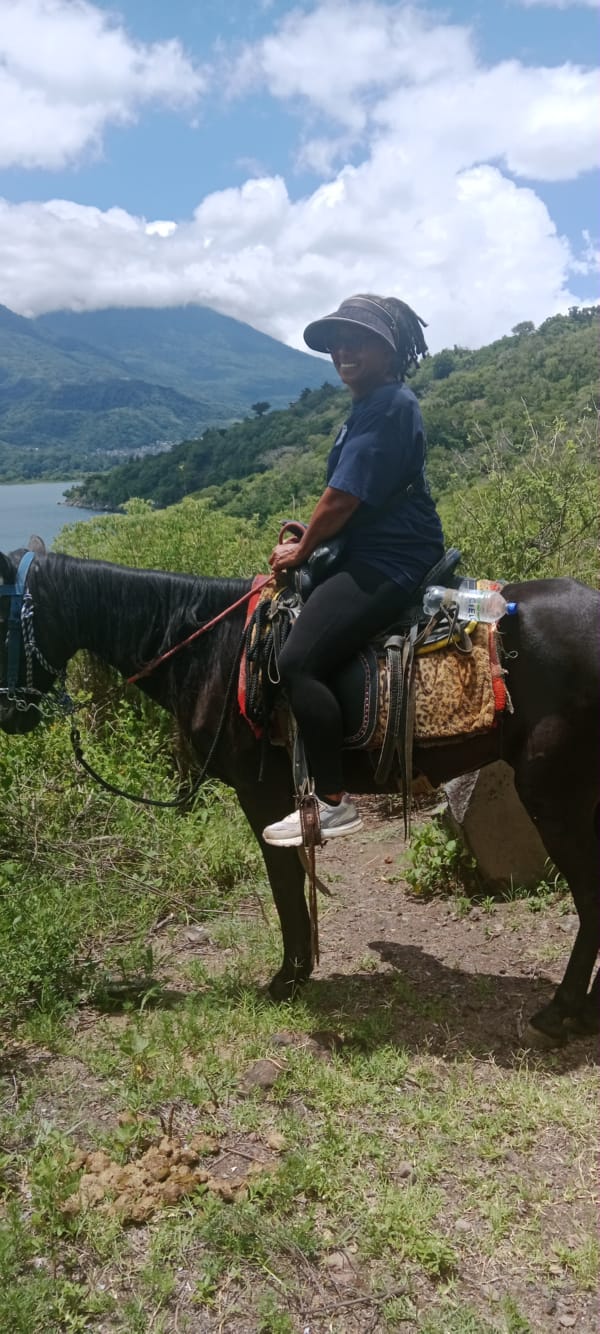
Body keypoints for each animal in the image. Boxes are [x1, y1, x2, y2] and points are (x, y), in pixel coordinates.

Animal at [1, 540, 598, 1045]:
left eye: (2, 617)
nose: (12, 715)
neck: (214, 654)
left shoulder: (260, 795)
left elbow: (284, 885)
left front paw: (288, 979)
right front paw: (299, 970)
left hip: (552, 793)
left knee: (589, 895)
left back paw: (561, 1013)